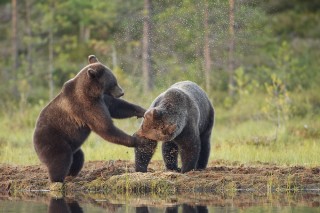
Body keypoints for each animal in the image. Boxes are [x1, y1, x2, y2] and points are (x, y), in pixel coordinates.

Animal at [32, 55, 145, 183]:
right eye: (113, 83)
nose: (122, 92)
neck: (90, 91)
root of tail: (34, 142)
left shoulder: (100, 99)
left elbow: (115, 107)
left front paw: (142, 110)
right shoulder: (86, 106)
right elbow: (105, 127)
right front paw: (137, 140)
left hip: (72, 145)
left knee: (78, 157)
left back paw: (71, 175)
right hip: (52, 139)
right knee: (60, 159)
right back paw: (58, 180)